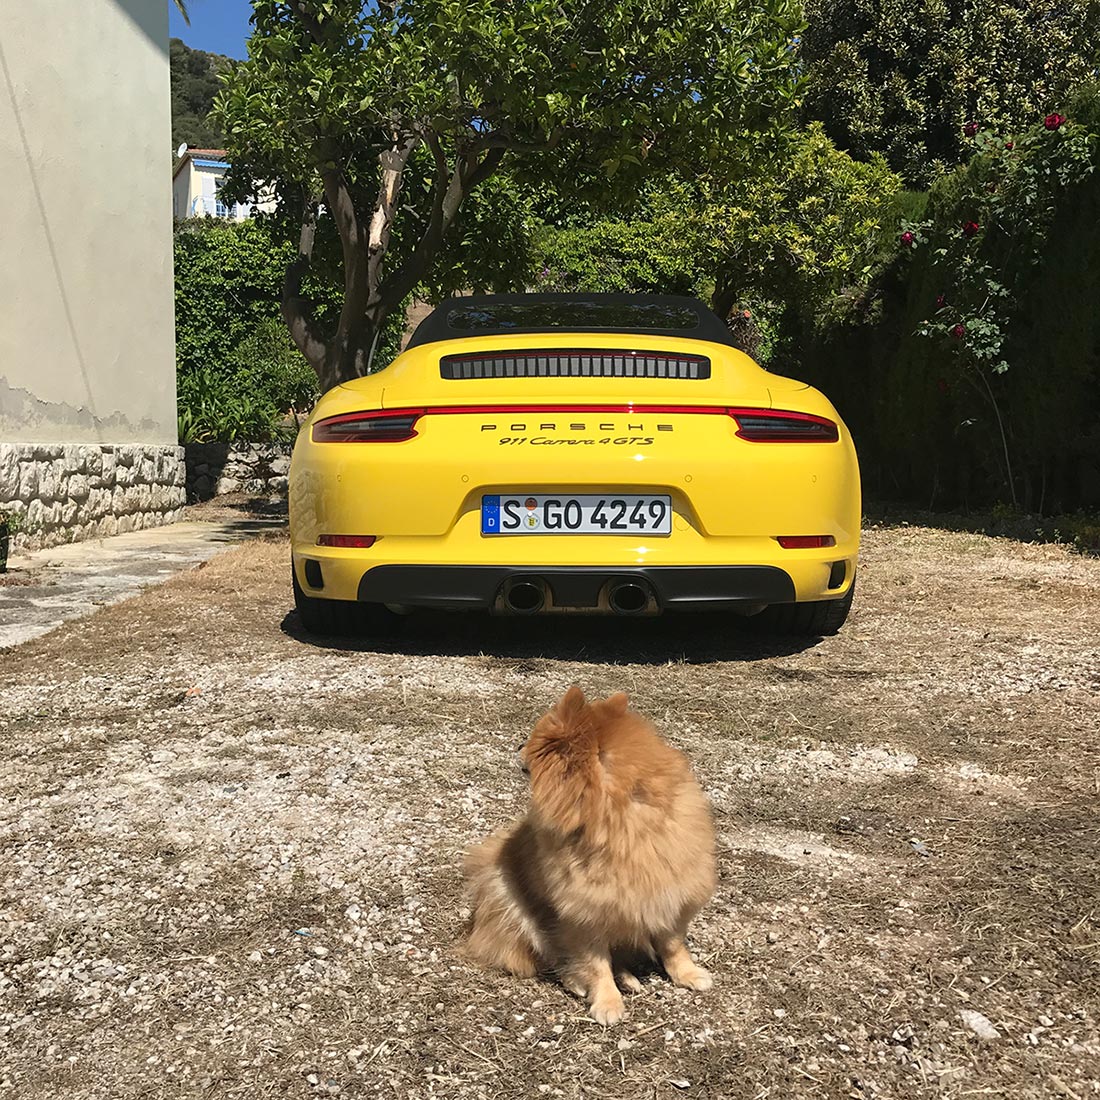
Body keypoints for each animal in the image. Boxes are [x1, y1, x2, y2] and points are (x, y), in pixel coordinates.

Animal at [459, 682, 717, 1025]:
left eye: (534, 741)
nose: (517, 746)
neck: (627, 820)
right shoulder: (584, 914)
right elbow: (595, 962)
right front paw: (607, 1001)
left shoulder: (671, 893)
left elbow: (673, 944)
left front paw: (687, 974)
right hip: (513, 906)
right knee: (553, 957)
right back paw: (579, 982)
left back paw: (628, 978)